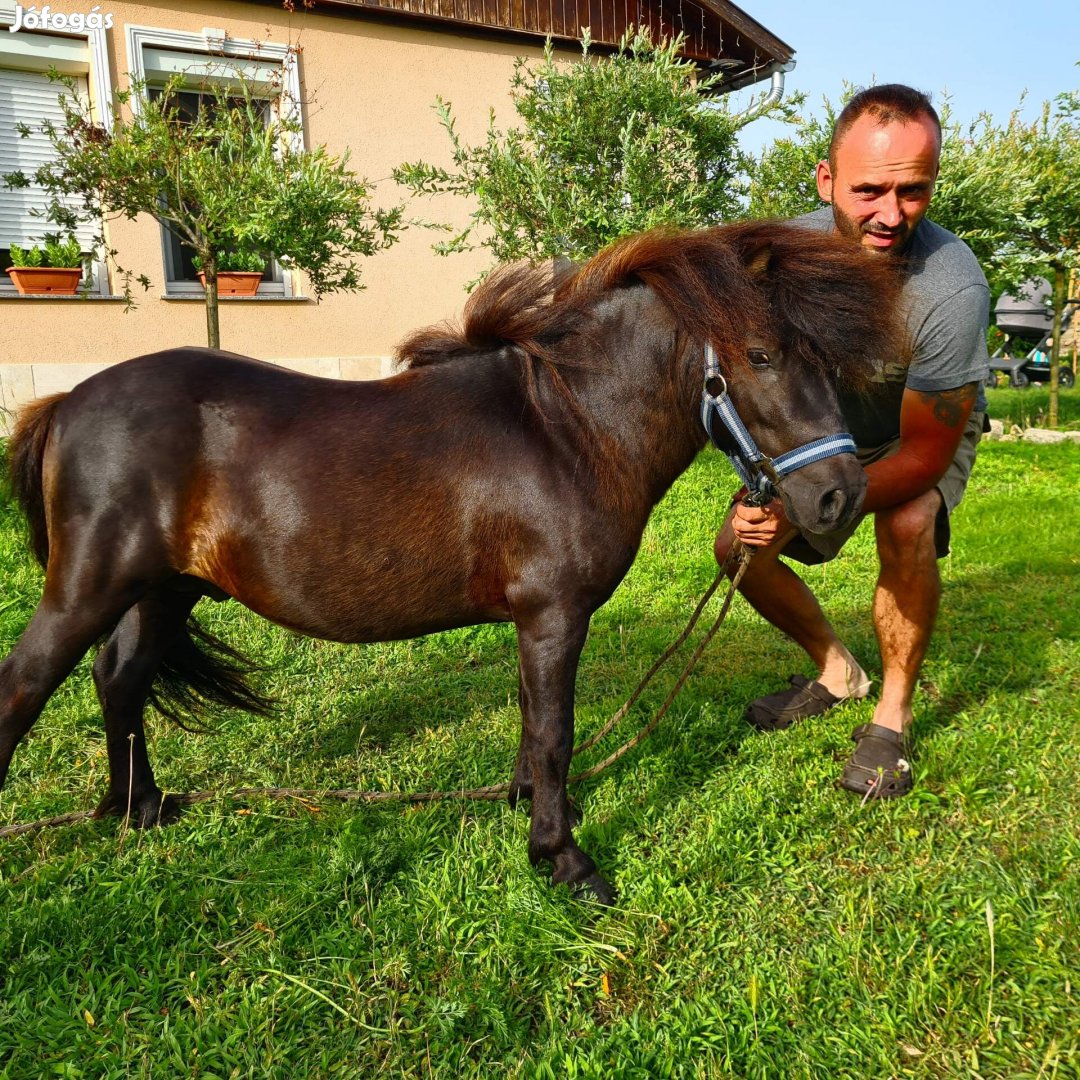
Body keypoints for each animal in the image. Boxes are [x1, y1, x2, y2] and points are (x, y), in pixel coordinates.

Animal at [0, 221, 902, 902]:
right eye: (762, 355)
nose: (838, 497)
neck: (567, 428)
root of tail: (67, 402)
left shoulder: (532, 619)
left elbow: (533, 722)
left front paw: (525, 810)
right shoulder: (553, 614)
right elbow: (554, 730)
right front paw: (563, 858)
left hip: (163, 590)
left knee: (120, 681)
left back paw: (140, 808)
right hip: (88, 590)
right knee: (24, 691)